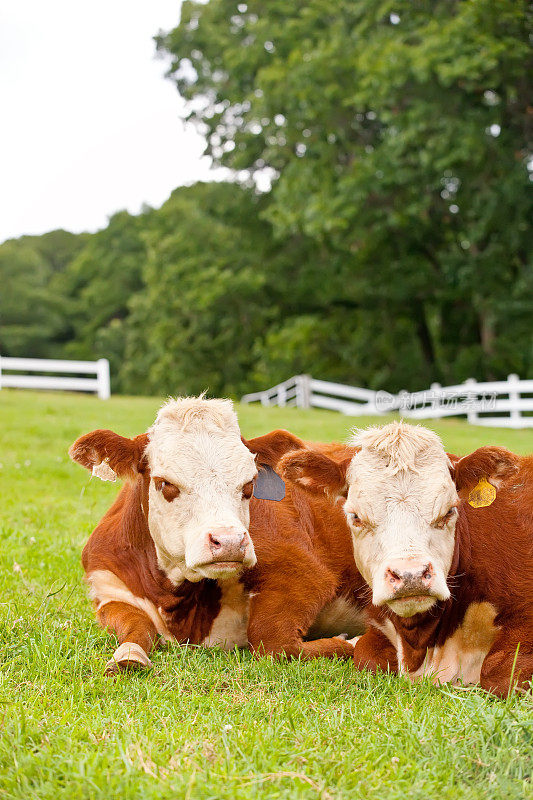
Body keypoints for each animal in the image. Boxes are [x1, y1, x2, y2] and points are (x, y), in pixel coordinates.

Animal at [69, 396, 366, 672]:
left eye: (249, 484)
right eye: (165, 483)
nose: (230, 542)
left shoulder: (303, 573)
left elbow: (274, 641)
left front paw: (354, 642)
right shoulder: (108, 588)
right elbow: (135, 627)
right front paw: (128, 655)